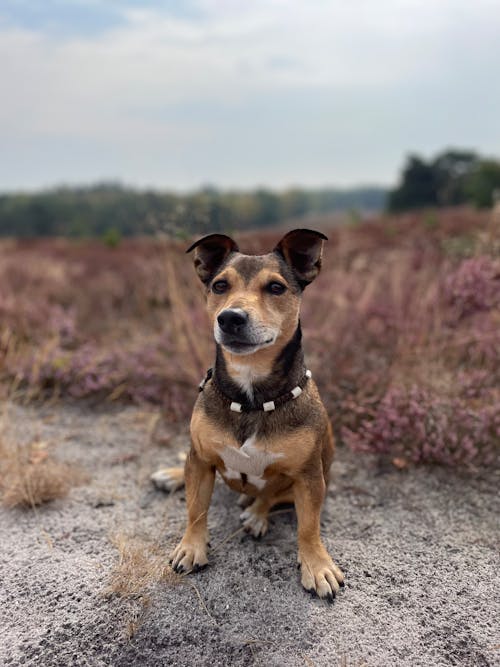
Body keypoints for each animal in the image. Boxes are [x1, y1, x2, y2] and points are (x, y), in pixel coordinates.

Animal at [152, 230, 346, 600]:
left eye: (276, 287)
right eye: (219, 285)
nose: (230, 318)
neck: (251, 396)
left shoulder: (309, 477)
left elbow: (308, 527)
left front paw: (317, 565)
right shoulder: (201, 460)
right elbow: (196, 509)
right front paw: (191, 547)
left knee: (271, 496)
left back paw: (256, 514)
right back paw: (171, 475)